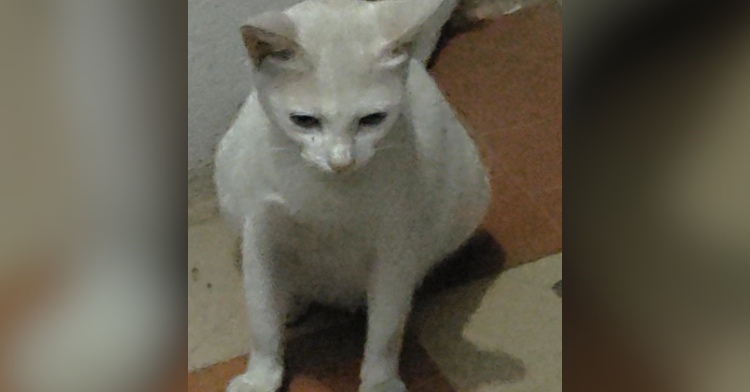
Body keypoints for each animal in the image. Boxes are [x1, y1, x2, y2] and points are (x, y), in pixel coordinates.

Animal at [214, 1, 490, 390]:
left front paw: (380, 381)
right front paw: (261, 375)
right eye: (304, 121)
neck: (327, 196)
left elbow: (385, 329)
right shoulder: (259, 233)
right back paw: (293, 301)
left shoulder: (396, 245)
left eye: (372, 119)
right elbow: (262, 319)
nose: (340, 161)